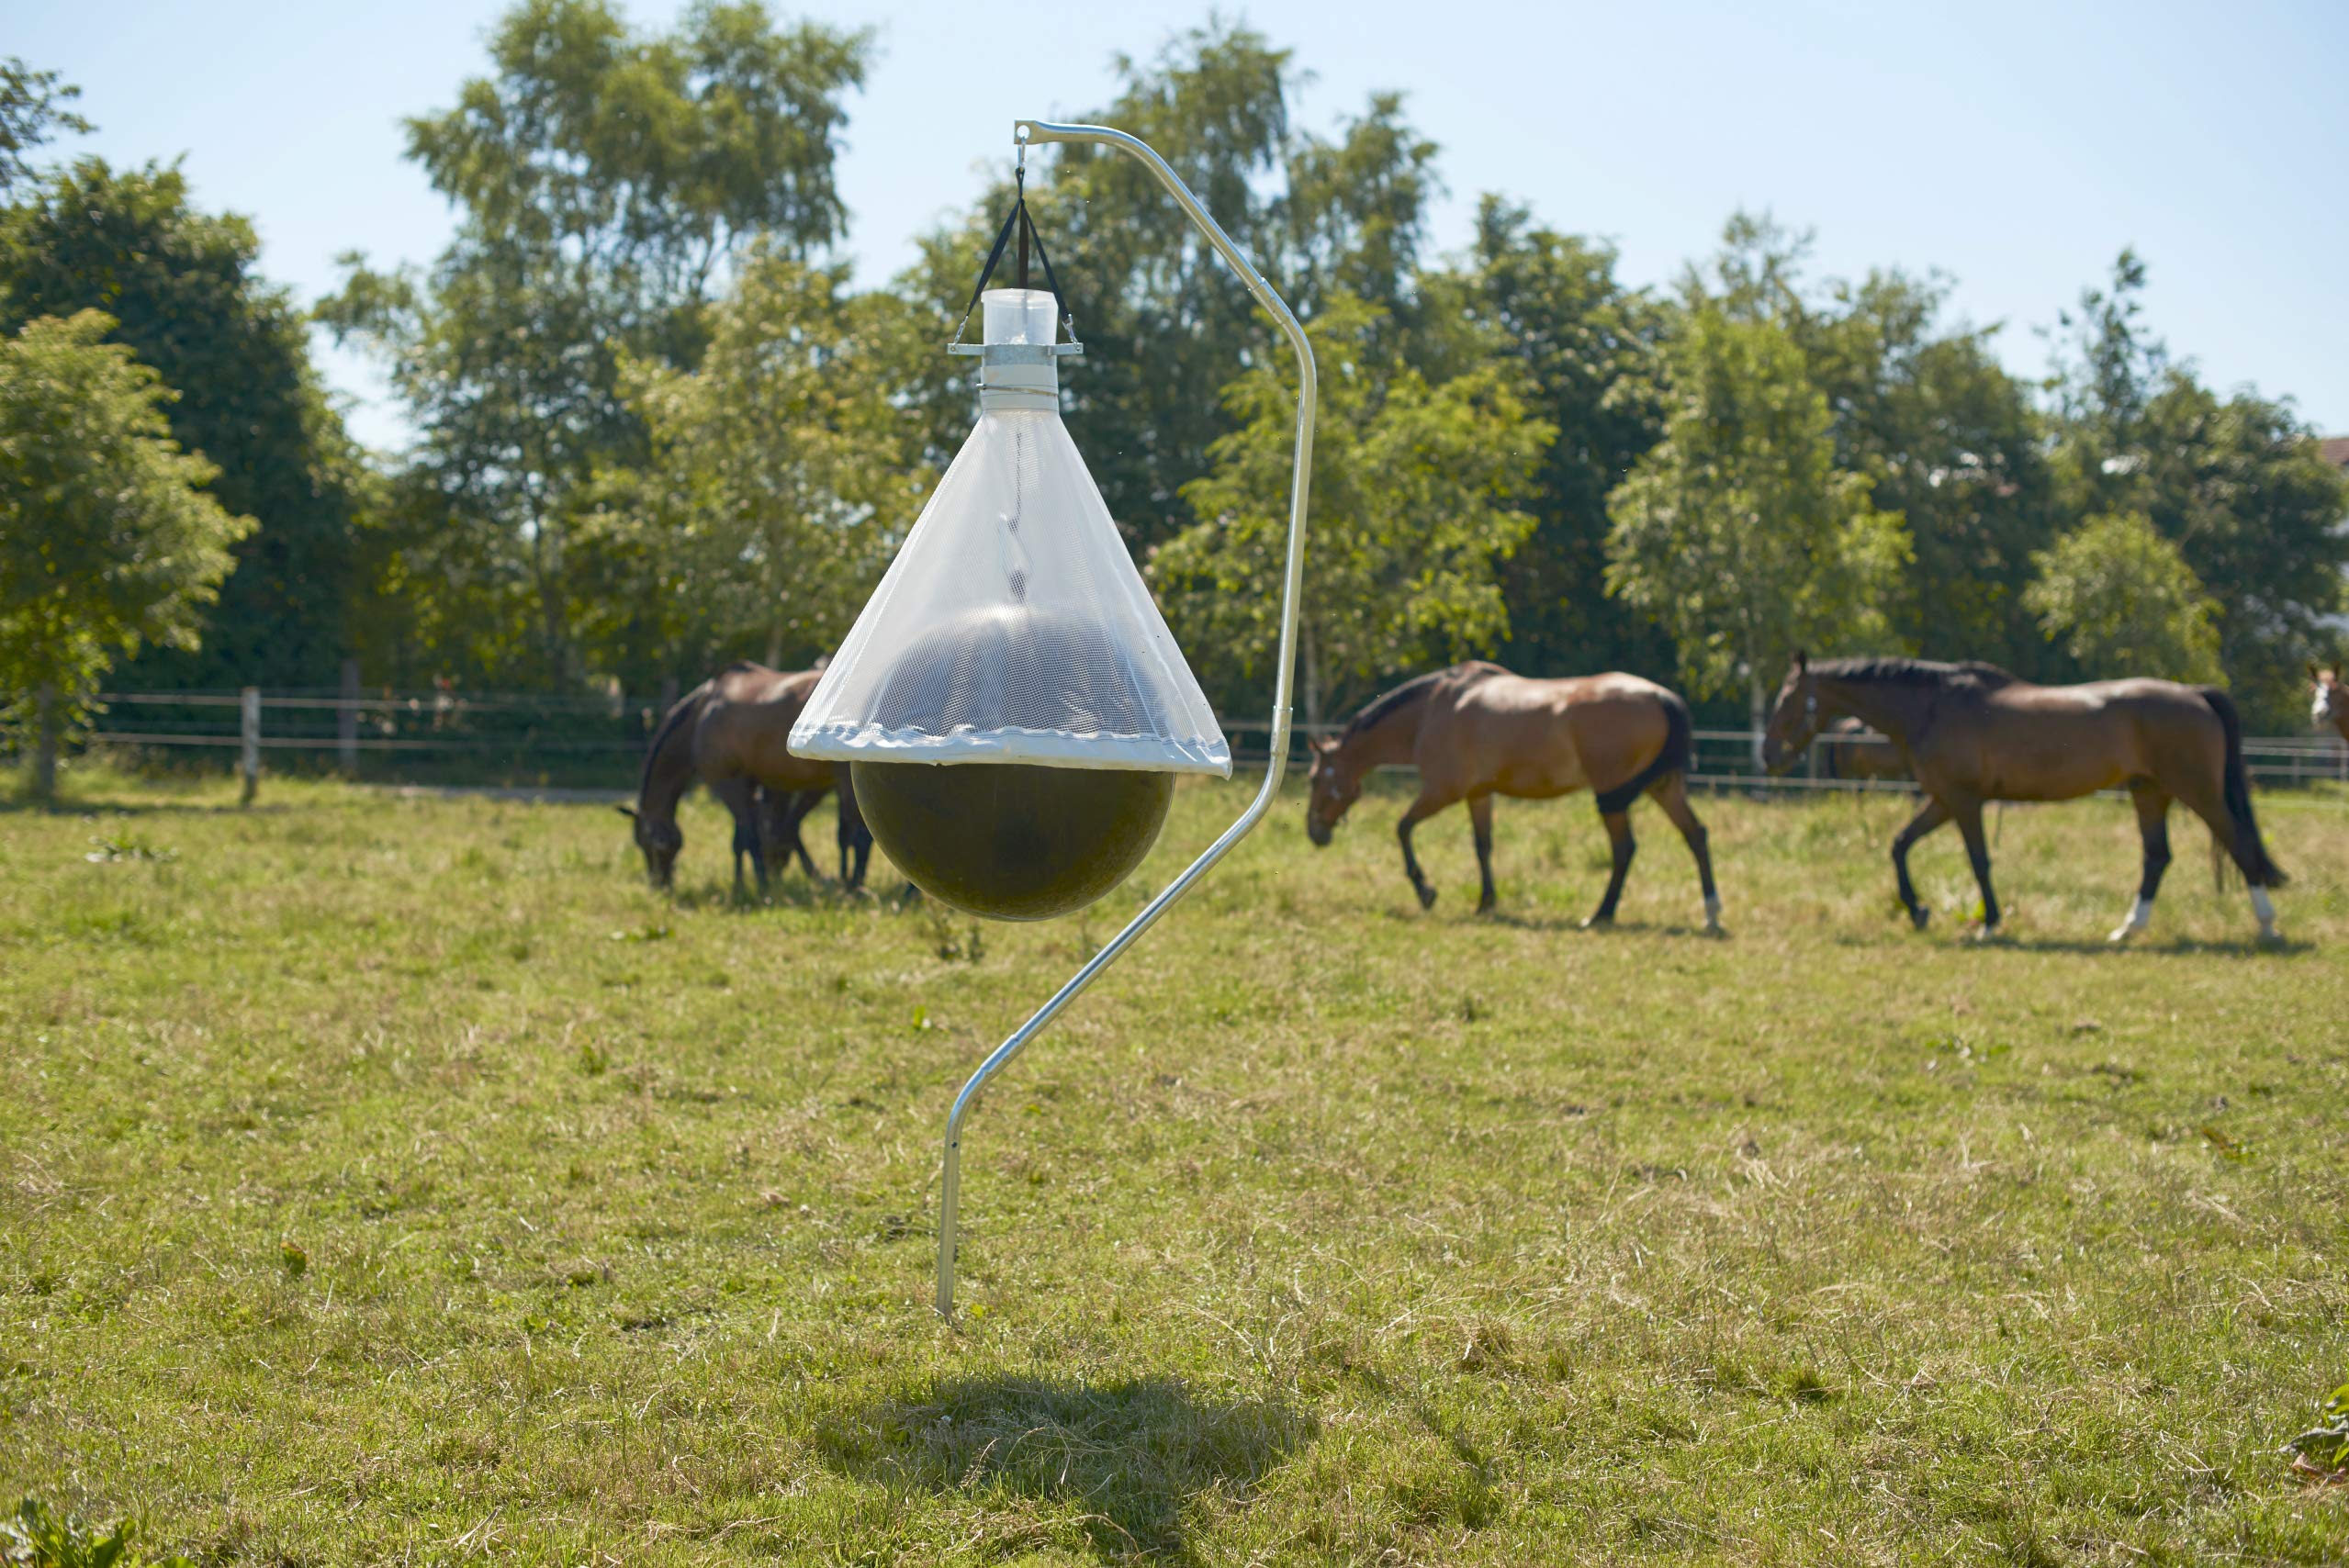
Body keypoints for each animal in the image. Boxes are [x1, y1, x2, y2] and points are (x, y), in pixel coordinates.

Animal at [620, 663, 871, 895]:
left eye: (645, 842)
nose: (658, 884)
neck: (700, 718)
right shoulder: (749, 784)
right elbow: (740, 840)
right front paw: (740, 885)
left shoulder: (726, 782)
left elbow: (750, 837)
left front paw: (761, 886)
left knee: (859, 835)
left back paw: (853, 887)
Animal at [1305, 661, 1722, 932]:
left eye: (1313, 780)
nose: (1313, 832)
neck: (1433, 709)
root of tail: (1662, 697)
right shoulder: (1478, 794)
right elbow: (1482, 846)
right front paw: (1486, 901)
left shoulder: (1442, 791)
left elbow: (1403, 828)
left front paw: (1425, 890)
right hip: (1663, 786)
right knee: (1696, 835)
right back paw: (1710, 912)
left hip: (1612, 793)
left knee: (1624, 849)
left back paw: (1602, 913)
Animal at [1761, 653, 2284, 942]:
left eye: (1786, 700)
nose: (1768, 755)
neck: (1932, 706)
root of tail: (2194, 693)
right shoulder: (1942, 800)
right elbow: (1899, 845)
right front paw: (1919, 910)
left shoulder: (1963, 801)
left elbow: (1979, 861)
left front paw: (1989, 923)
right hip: (2149, 792)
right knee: (2157, 857)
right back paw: (2127, 928)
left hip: (2198, 791)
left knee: (2239, 844)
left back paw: (2267, 926)